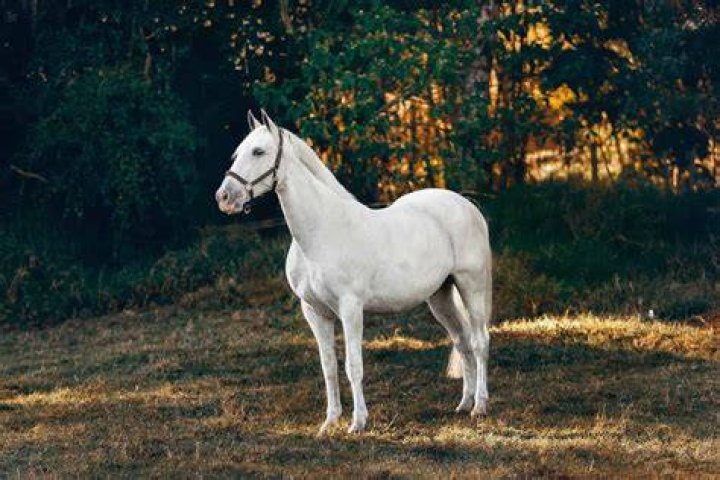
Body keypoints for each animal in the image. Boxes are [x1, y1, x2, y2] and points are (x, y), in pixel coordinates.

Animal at [215, 110, 492, 434]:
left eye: (259, 152)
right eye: (237, 154)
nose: (224, 198)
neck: (321, 231)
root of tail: (467, 205)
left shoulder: (350, 309)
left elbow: (353, 366)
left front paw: (358, 422)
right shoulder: (314, 311)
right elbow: (328, 368)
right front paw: (330, 422)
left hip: (471, 287)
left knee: (479, 341)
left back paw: (479, 406)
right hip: (440, 297)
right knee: (462, 342)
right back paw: (463, 404)